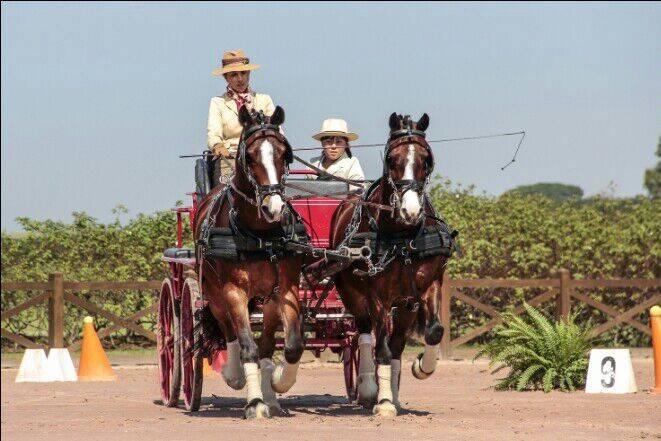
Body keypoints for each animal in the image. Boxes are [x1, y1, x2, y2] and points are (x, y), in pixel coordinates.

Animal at [191, 105, 304, 418]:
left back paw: (271, 395)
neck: (261, 235)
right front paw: (254, 403)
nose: (273, 207)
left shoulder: (285, 290)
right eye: (250, 156)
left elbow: (290, 345)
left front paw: (277, 383)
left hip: (266, 300)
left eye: (283, 154)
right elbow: (246, 345)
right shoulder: (234, 291)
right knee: (229, 331)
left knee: (265, 343)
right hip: (214, 293)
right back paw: (235, 376)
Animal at [328, 112, 454, 416]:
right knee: (364, 334)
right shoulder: (378, 296)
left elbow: (434, 331)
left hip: (405, 305)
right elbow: (380, 348)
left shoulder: (428, 286)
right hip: (353, 294)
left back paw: (394, 394)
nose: (411, 211)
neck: (402, 237)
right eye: (391, 159)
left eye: (426, 159)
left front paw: (421, 367)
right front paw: (383, 402)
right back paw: (368, 389)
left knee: (396, 344)